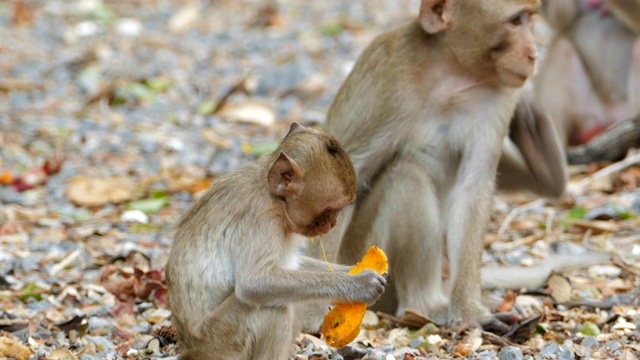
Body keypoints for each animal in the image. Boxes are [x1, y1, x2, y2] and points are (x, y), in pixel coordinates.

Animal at [165, 123, 384, 360]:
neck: (274, 196)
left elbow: (295, 265)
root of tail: (189, 349)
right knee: (271, 307)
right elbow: (255, 283)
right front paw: (360, 285)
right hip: (220, 342)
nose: (333, 223)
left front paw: (353, 271)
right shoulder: (261, 216)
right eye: (331, 209)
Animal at [310, 0, 560, 328]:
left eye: (529, 20)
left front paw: (470, 311)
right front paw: (314, 312)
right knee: (407, 175)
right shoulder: (386, 79)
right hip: (360, 255)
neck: (452, 77)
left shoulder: (501, 97)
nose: (533, 54)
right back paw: (424, 304)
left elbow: (471, 190)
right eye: (516, 21)